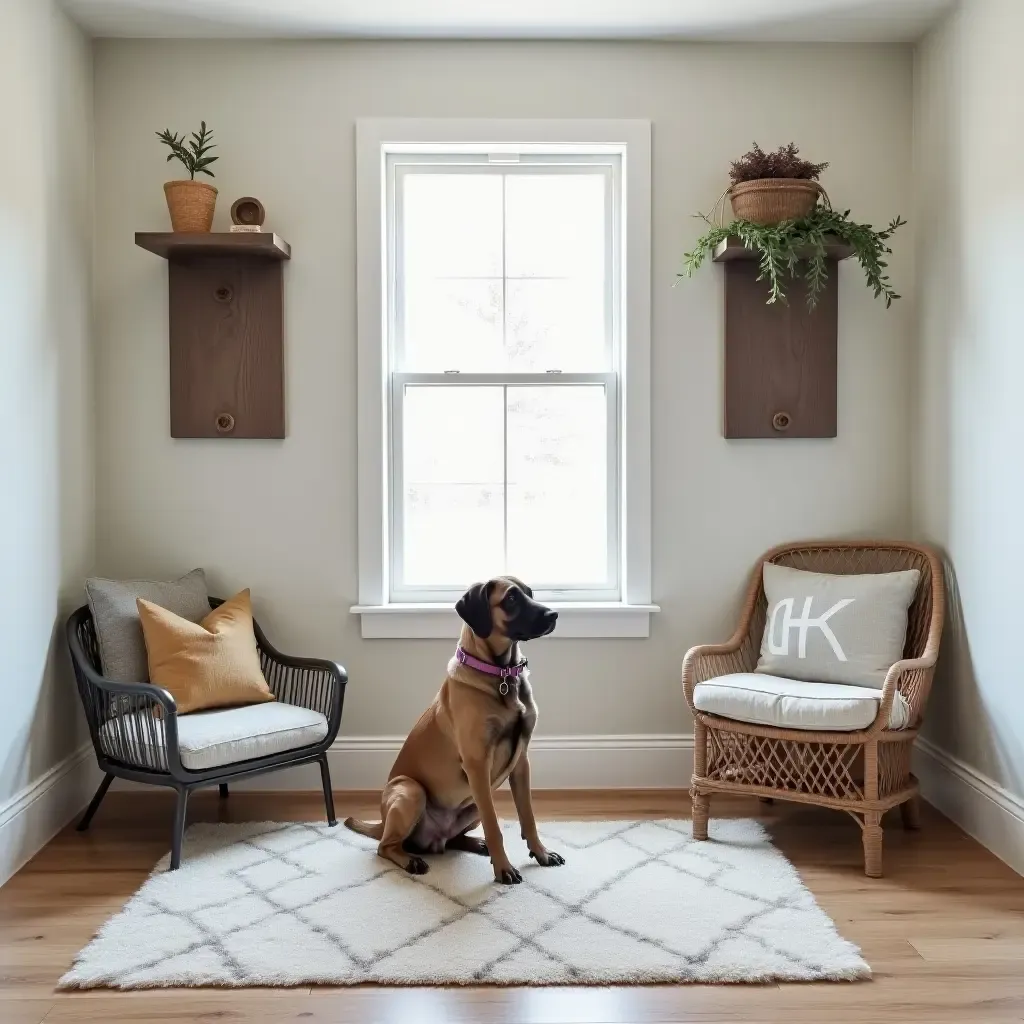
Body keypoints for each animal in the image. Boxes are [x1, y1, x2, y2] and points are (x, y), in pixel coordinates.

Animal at [348, 581, 565, 884]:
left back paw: (475, 844)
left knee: (450, 841)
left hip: (472, 803)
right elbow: (495, 826)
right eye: (510, 598)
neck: (501, 674)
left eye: (530, 593)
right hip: (412, 791)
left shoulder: (521, 763)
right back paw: (411, 860)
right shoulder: (477, 765)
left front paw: (541, 853)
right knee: (385, 847)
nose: (553, 615)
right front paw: (504, 868)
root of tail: (382, 822)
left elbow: (528, 816)